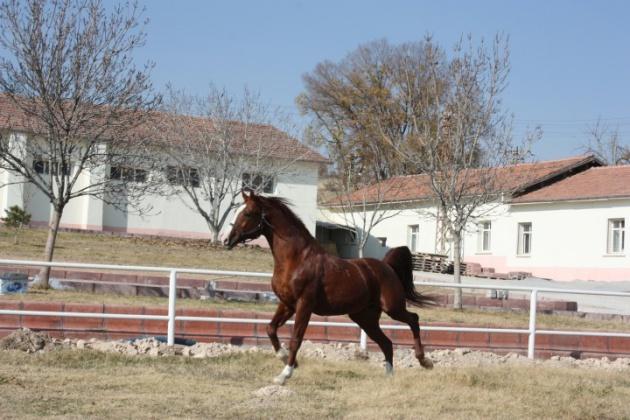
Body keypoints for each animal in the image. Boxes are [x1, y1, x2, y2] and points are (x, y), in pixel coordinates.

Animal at [225, 190, 436, 384]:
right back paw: (389, 375)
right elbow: (270, 329)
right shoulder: (287, 304)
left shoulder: (304, 305)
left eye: (248, 213)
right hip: (364, 318)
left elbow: (296, 339)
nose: (227, 240)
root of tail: (387, 266)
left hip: (393, 308)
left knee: (413, 320)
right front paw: (286, 359)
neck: (297, 260)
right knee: (387, 343)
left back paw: (425, 361)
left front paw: (285, 374)